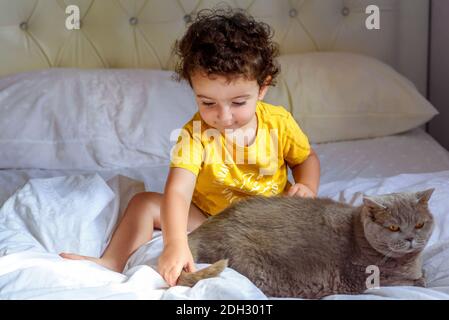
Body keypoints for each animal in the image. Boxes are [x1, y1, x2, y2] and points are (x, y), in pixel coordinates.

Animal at [178, 189, 434, 298]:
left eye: (420, 224)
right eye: (393, 228)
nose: (410, 238)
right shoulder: (362, 276)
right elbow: (411, 281)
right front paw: (420, 278)